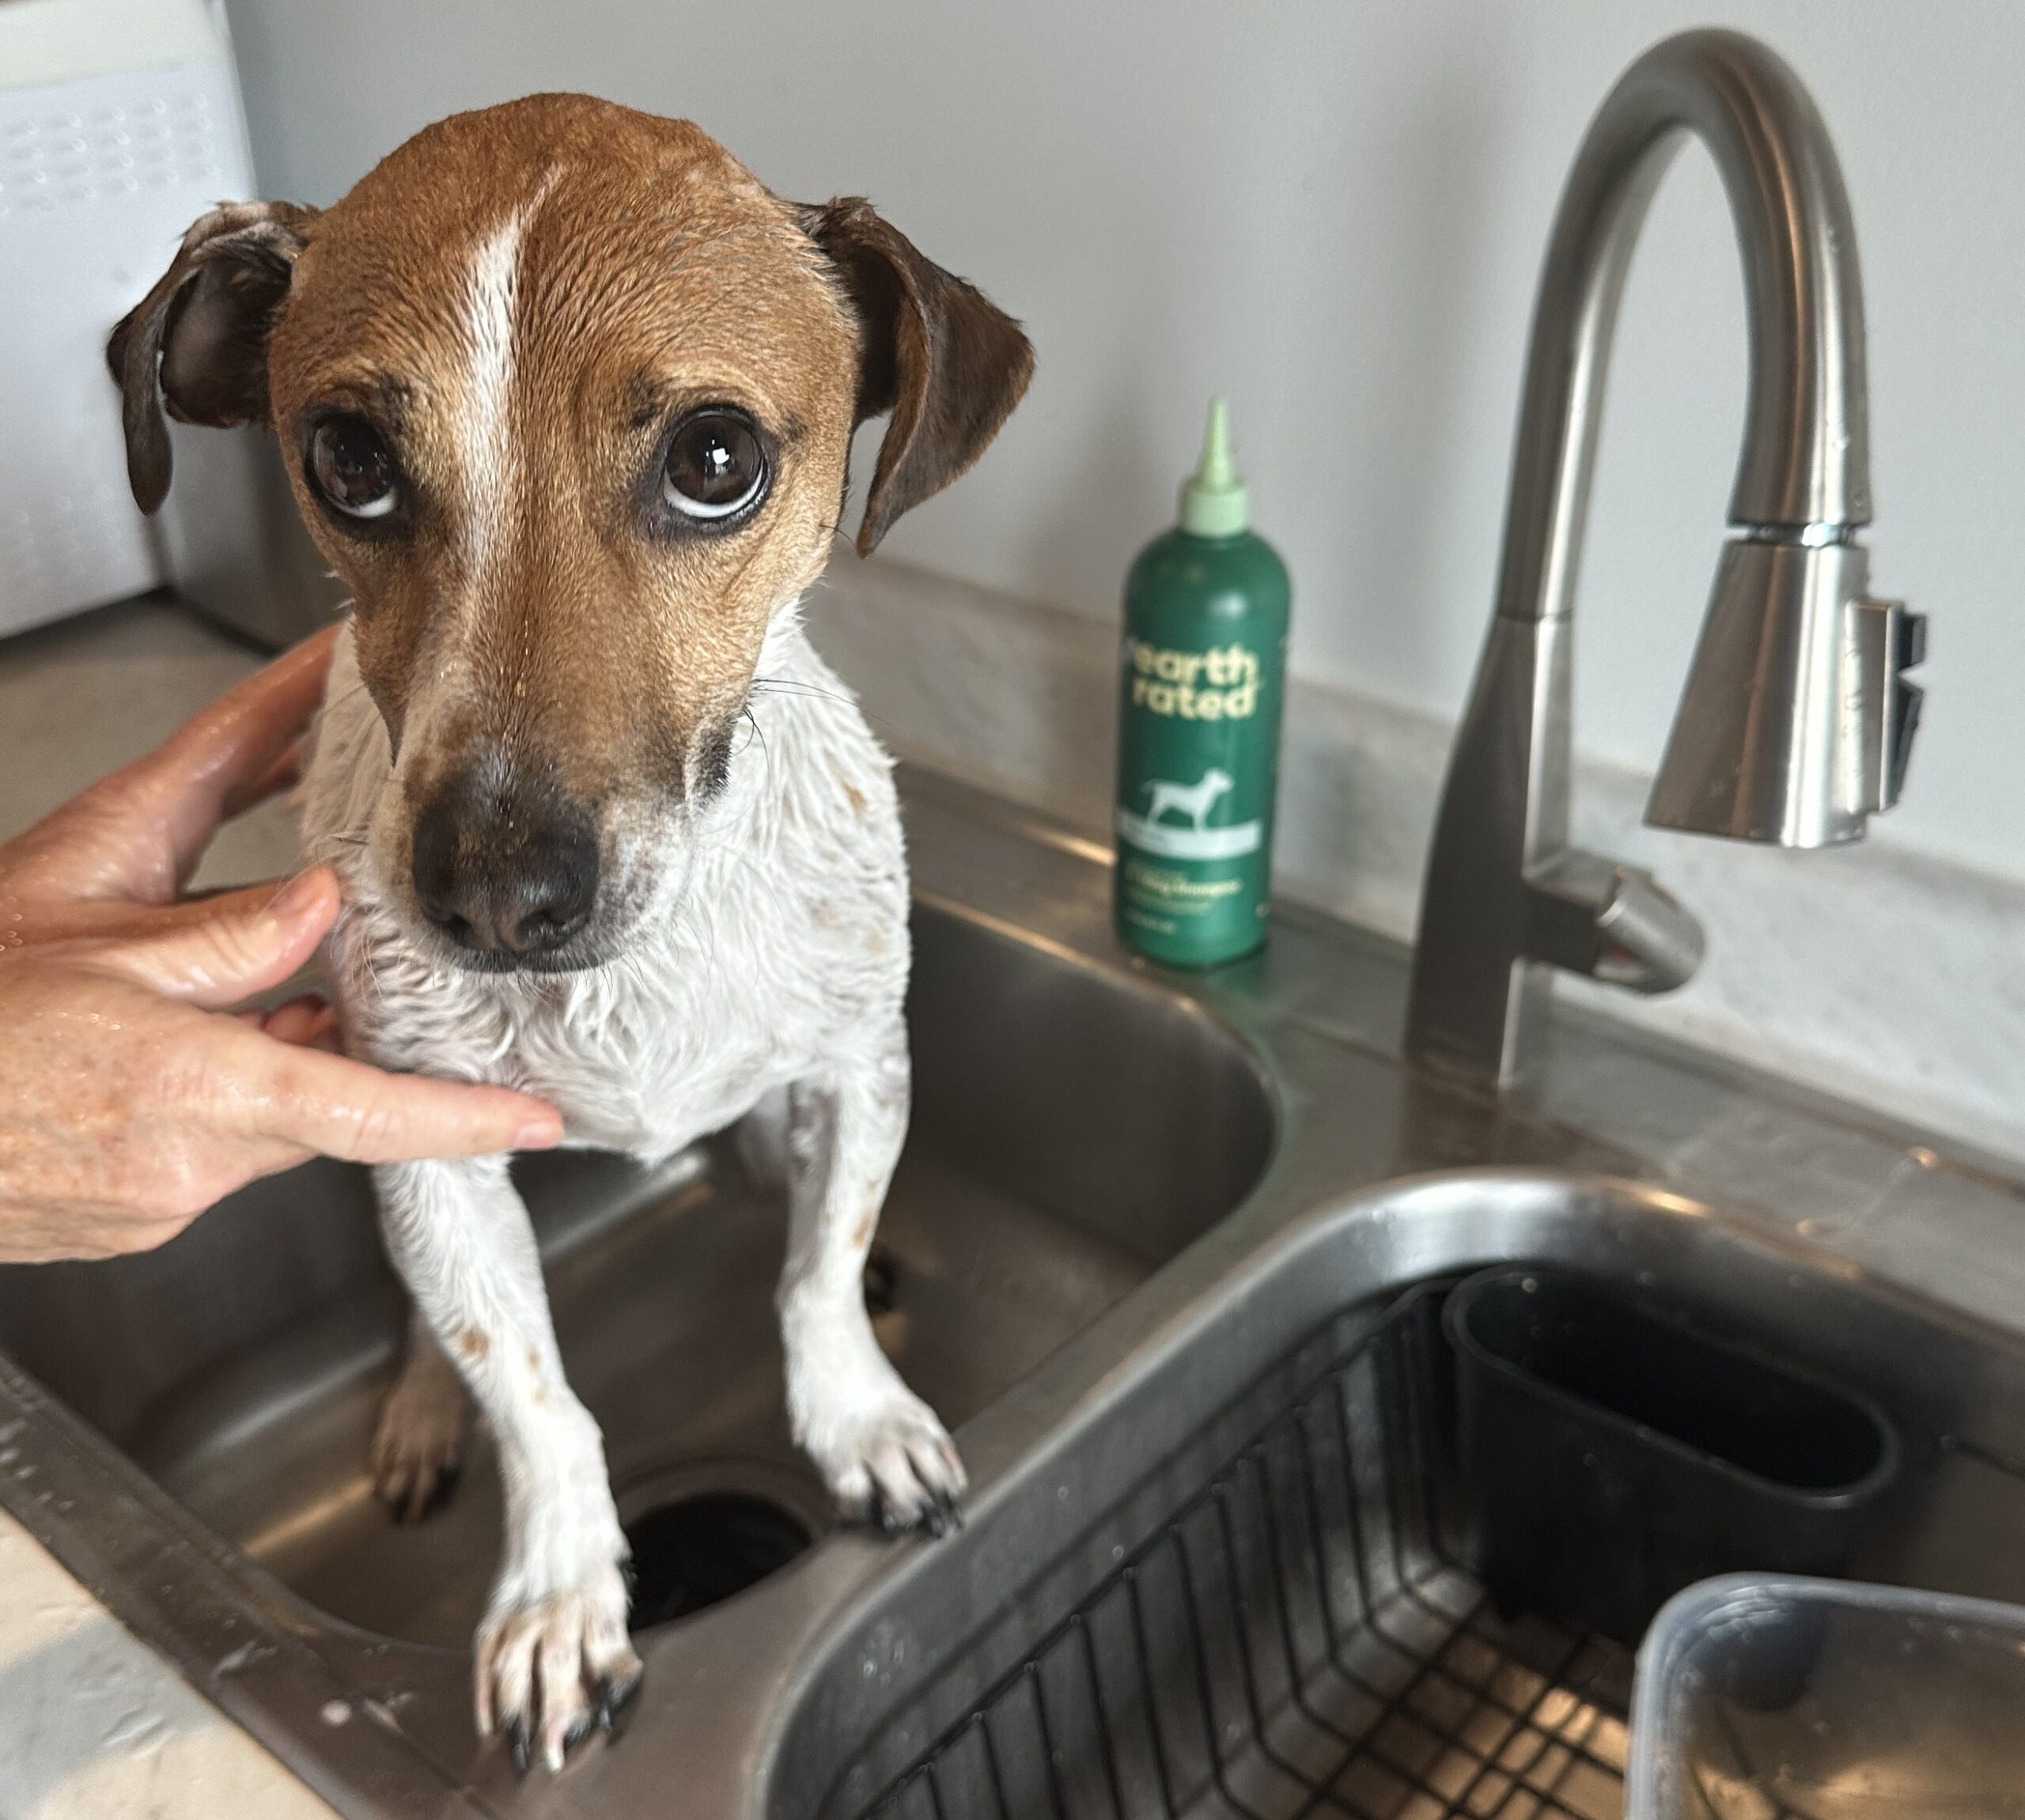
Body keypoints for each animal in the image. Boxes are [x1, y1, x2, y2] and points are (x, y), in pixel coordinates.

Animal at [108, 93, 1028, 1773]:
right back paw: (421, 1412)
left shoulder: (860, 1064)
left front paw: (859, 1414)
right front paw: (556, 1597)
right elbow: (531, 1395)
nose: (493, 893)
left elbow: (813, 1271)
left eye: (716, 458)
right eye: (347, 459)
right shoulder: (430, 1155)